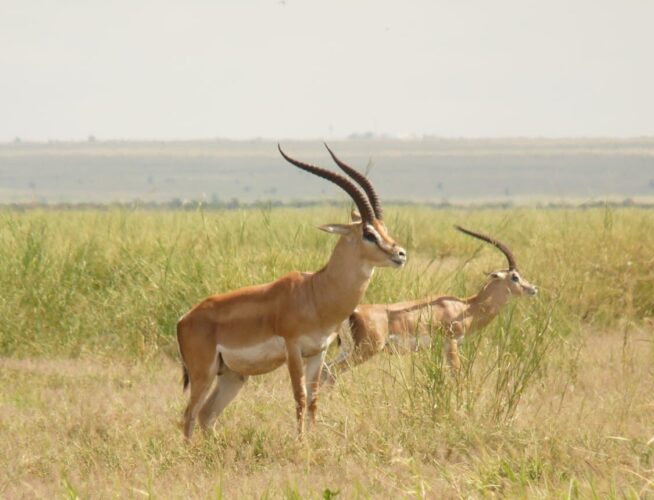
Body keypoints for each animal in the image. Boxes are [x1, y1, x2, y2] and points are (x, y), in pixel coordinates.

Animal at [176, 144, 407, 439]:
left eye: (384, 229)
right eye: (368, 233)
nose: (400, 254)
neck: (315, 293)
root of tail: (184, 319)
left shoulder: (318, 352)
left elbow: (314, 399)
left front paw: (315, 439)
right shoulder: (294, 350)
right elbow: (299, 396)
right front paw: (301, 443)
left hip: (231, 375)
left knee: (206, 415)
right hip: (203, 373)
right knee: (189, 416)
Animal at [323, 226, 537, 383]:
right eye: (515, 277)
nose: (533, 289)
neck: (466, 308)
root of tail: (353, 311)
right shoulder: (451, 343)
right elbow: (457, 377)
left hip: (347, 350)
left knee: (325, 371)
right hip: (365, 351)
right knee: (332, 373)